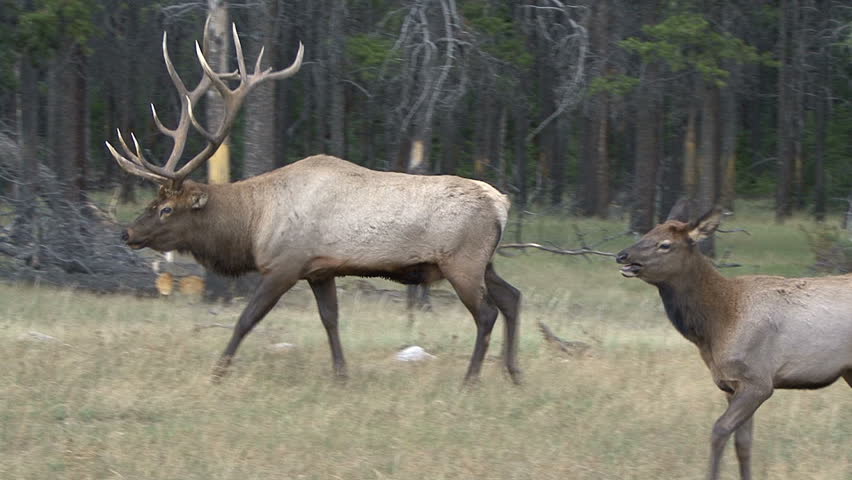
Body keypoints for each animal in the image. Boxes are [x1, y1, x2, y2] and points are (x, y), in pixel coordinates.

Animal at [105, 18, 522, 385]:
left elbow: (246, 319)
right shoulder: (320, 269)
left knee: (487, 312)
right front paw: (341, 374)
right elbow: (330, 319)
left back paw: (471, 380)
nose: (127, 233)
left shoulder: (285, 264)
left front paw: (218, 373)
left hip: (462, 262)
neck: (254, 224)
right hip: (483, 261)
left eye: (166, 209)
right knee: (513, 297)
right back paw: (514, 373)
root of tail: (501, 203)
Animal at [616, 208, 852, 480]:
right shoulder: (731, 385)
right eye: (647, 233)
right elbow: (743, 444)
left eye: (665, 244)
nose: (622, 255)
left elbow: (719, 430)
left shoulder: (757, 381)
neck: (715, 326)